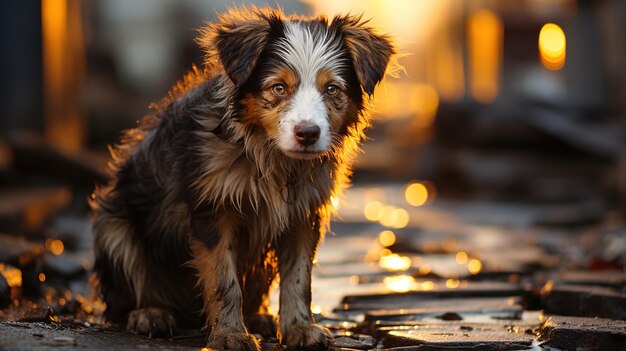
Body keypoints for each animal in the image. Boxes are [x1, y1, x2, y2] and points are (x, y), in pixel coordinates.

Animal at [90, 6, 392, 350]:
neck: (270, 154)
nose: (308, 134)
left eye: (332, 89)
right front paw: (230, 335)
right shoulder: (211, 209)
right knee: (124, 297)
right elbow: (224, 280)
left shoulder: (304, 214)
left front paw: (300, 328)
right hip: (114, 230)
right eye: (278, 88)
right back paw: (150, 313)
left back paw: (259, 317)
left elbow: (299, 277)